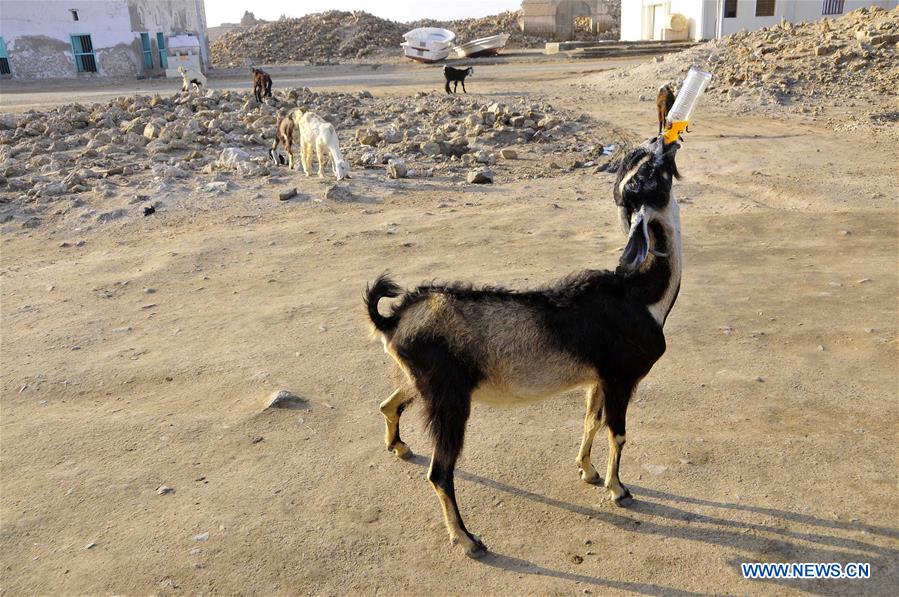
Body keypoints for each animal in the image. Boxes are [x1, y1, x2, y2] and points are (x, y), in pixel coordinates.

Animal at [364, 136, 683, 558]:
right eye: (646, 171)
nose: (662, 139)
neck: (643, 296)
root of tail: (394, 320)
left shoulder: (596, 378)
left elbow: (591, 420)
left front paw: (587, 470)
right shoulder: (620, 377)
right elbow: (617, 433)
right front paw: (618, 489)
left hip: (420, 382)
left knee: (389, 404)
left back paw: (399, 447)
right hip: (449, 397)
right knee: (440, 472)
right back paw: (467, 539)